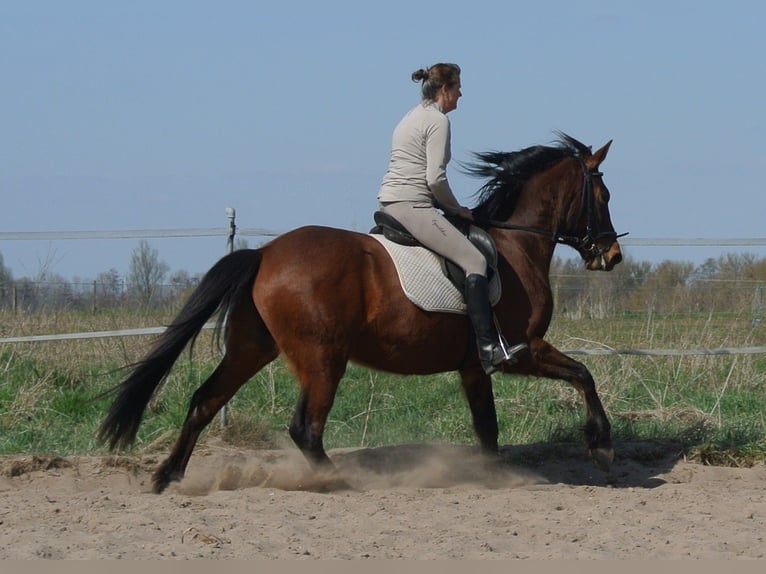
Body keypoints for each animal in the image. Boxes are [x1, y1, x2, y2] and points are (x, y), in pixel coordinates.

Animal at [98, 133, 624, 494]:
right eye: (603, 197)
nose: (612, 256)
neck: (514, 246)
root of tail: (264, 253)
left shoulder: (475, 367)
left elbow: (488, 426)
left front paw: (493, 476)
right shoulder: (522, 350)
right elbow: (583, 374)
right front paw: (601, 447)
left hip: (253, 348)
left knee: (205, 400)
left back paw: (168, 475)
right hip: (322, 359)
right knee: (305, 427)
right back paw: (338, 481)